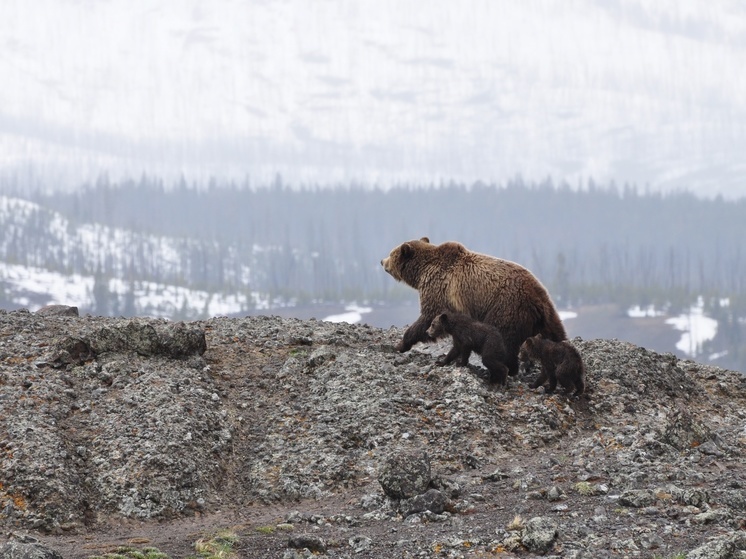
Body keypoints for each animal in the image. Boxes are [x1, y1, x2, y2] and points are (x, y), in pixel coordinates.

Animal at [380, 237, 568, 376]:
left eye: (391, 253)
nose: (382, 261)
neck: (421, 272)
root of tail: (537, 298)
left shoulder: (438, 288)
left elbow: (428, 317)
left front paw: (401, 344)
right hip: (547, 315)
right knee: (556, 335)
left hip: (506, 308)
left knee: (504, 340)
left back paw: (506, 369)